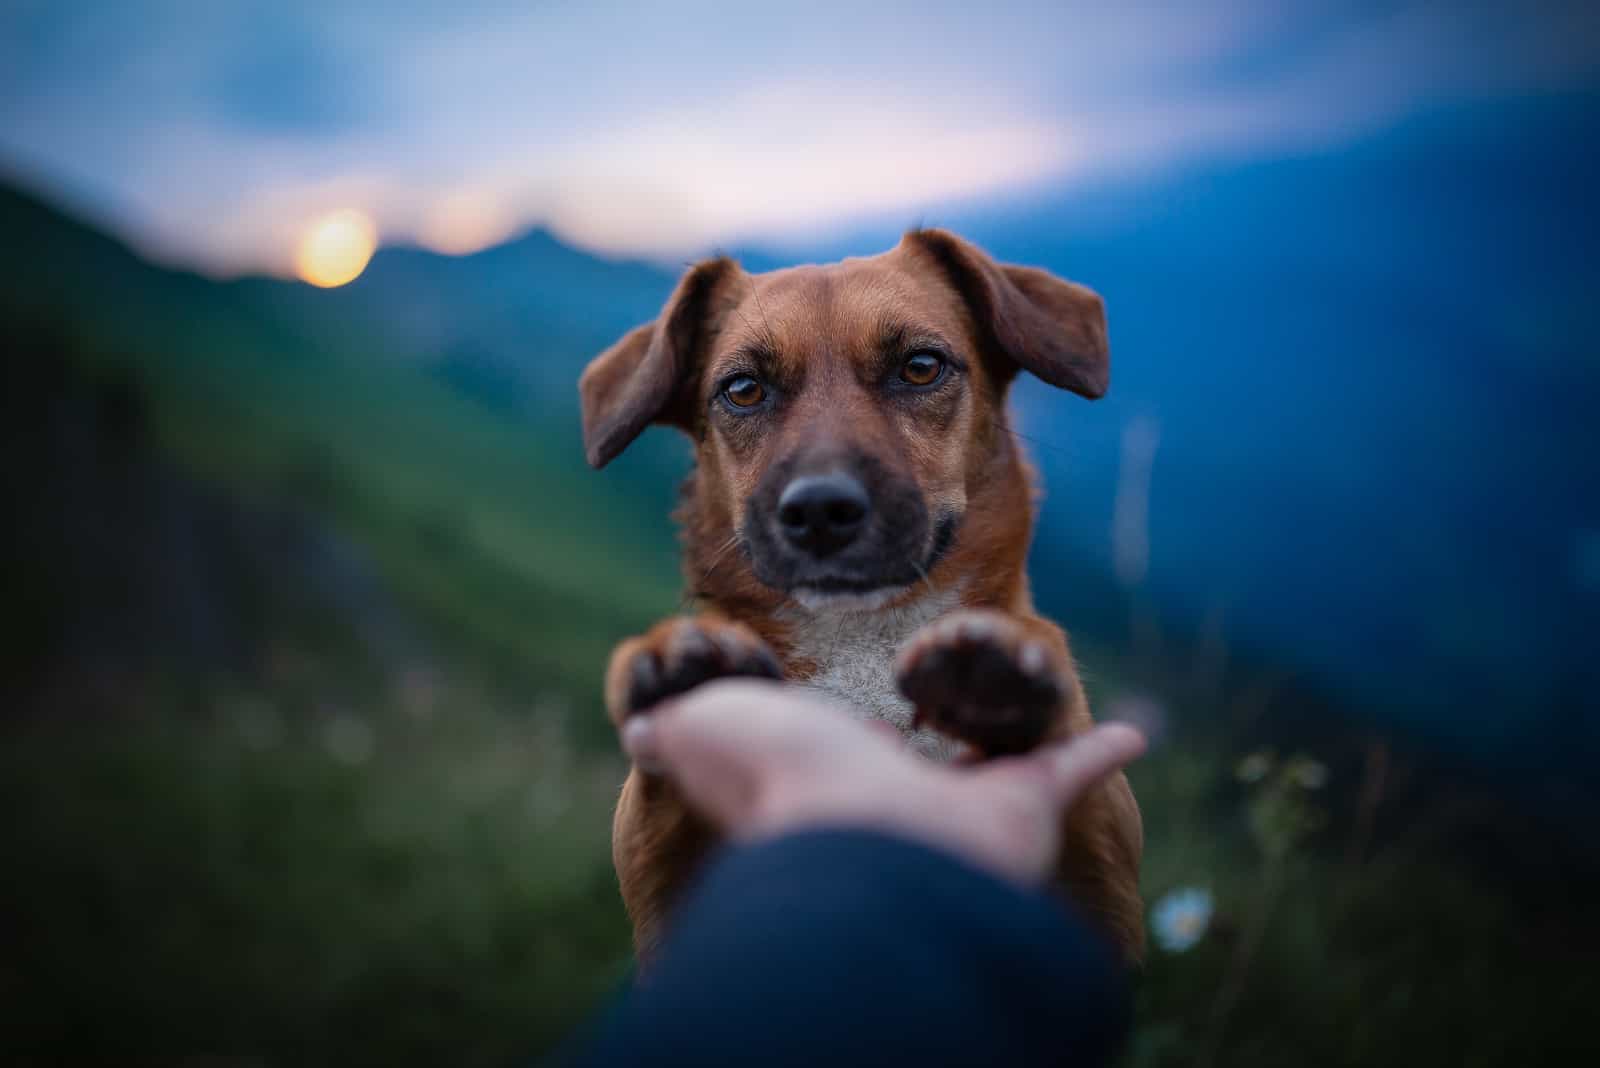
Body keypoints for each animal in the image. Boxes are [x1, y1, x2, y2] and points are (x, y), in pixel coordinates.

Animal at [582, 230, 1145, 965]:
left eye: (921, 367)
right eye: (743, 388)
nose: (820, 510)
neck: (865, 642)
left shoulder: (1101, 887)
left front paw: (1004, 678)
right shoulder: (664, 889)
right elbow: (666, 809)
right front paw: (680, 662)